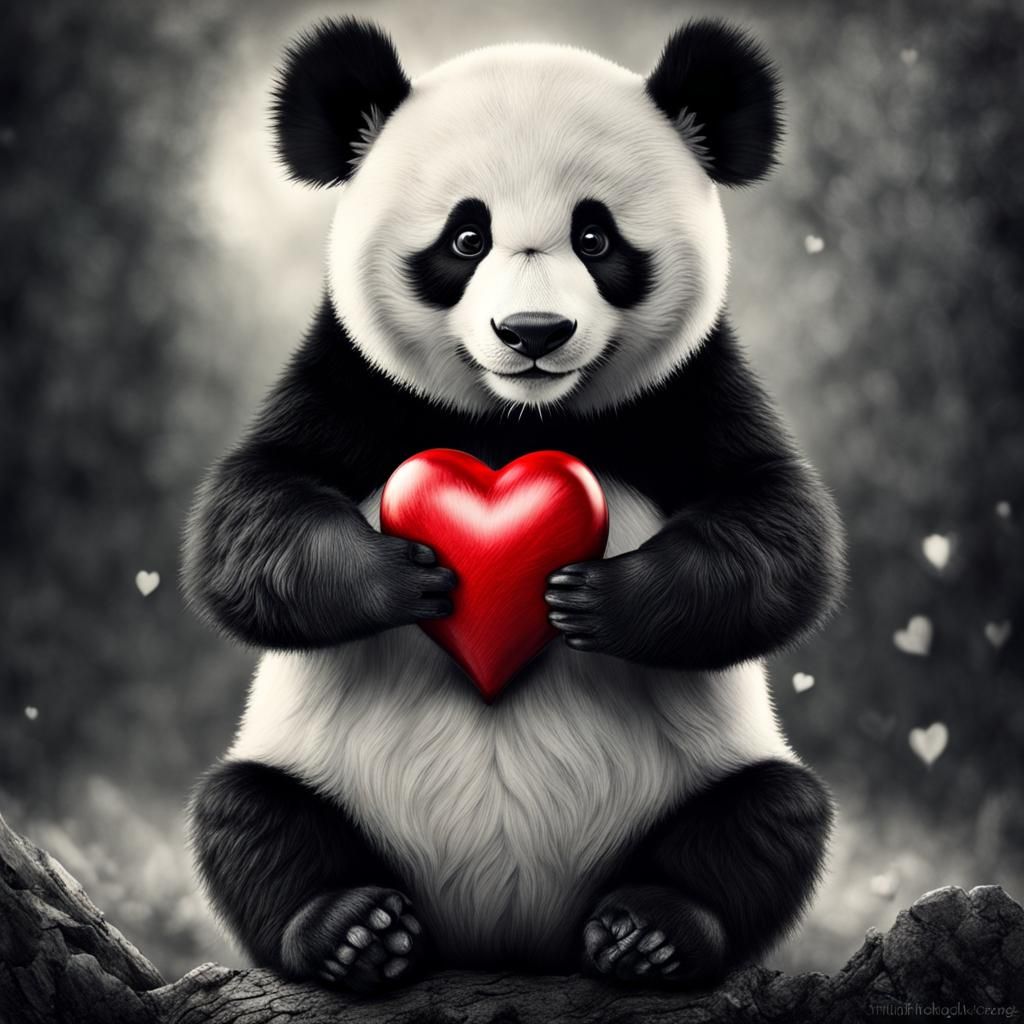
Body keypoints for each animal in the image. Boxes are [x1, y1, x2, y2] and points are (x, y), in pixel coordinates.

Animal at [183, 17, 845, 993]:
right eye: (466, 238)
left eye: (597, 238)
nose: (533, 334)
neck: (513, 420)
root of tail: (506, 937)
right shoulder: (350, 380)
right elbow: (245, 521)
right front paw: (406, 578)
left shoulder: (690, 388)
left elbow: (781, 530)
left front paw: (596, 598)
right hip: (310, 780)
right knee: (247, 815)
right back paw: (353, 928)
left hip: (701, 788)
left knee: (772, 817)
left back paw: (652, 931)